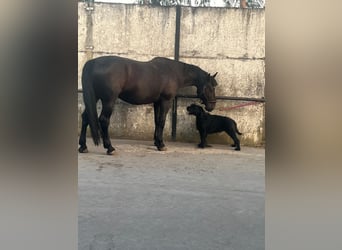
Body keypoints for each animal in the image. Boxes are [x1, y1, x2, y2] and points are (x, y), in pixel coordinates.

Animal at [78, 56, 218, 154]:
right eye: (211, 87)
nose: (211, 106)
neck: (173, 72)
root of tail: (93, 63)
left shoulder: (157, 102)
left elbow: (156, 121)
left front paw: (156, 142)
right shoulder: (166, 101)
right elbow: (161, 121)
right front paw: (161, 145)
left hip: (95, 97)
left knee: (85, 118)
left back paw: (83, 146)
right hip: (108, 100)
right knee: (104, 120)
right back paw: (110, 147)